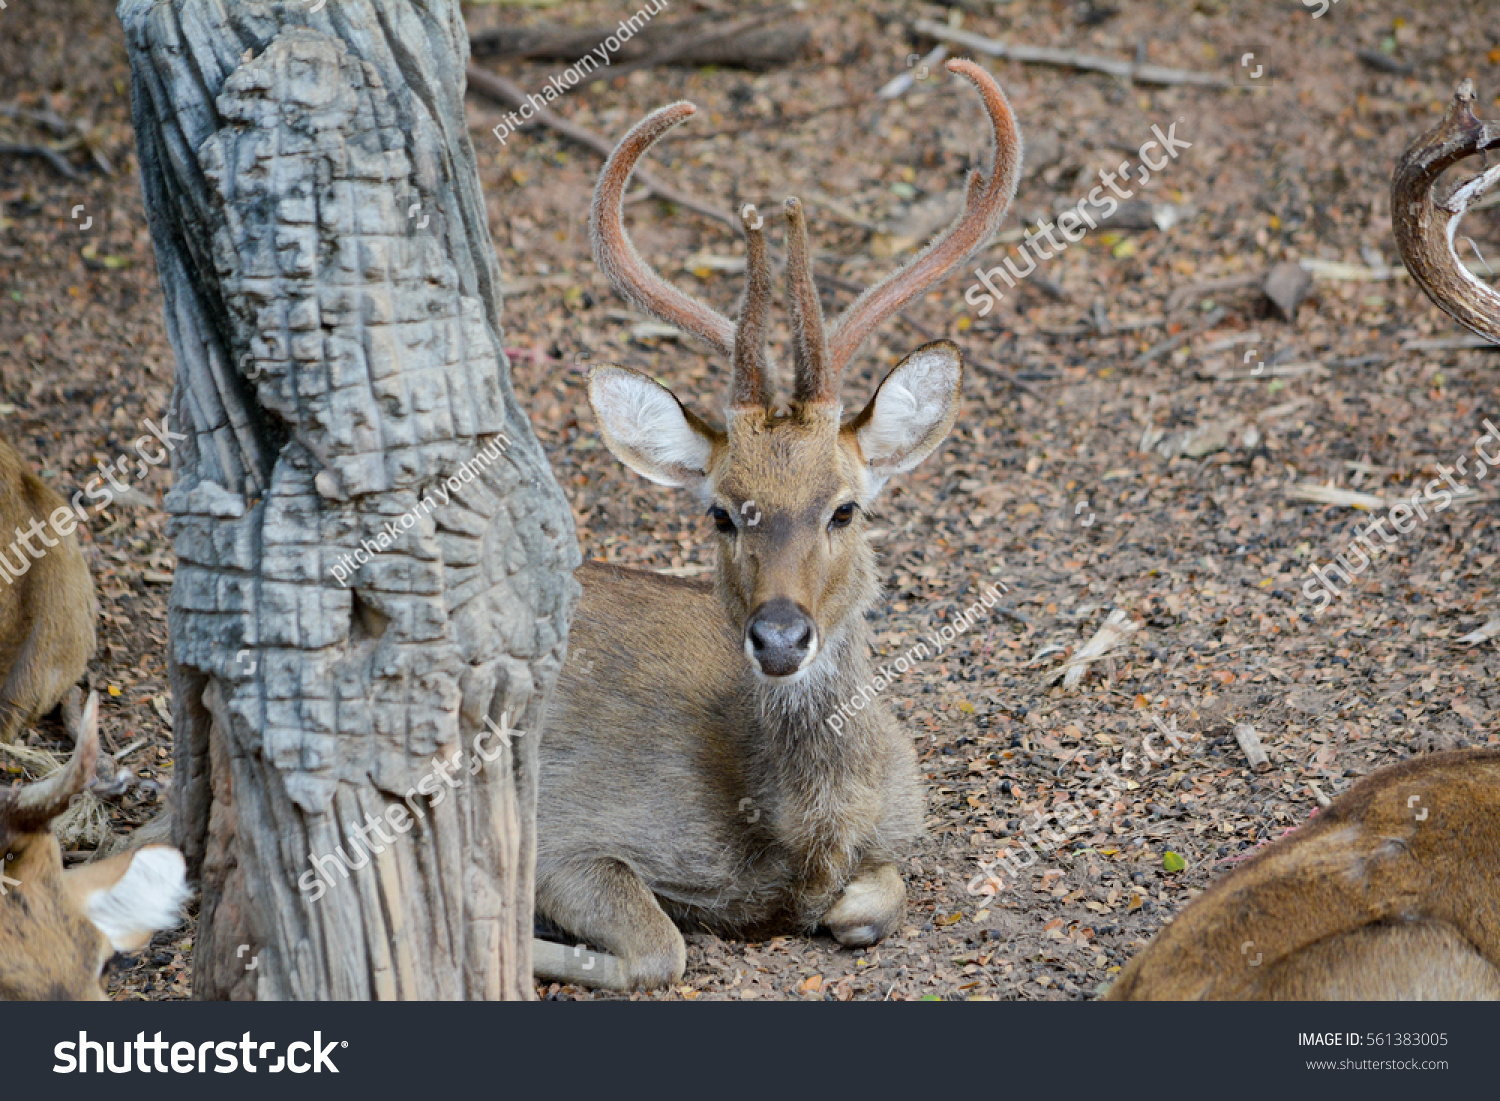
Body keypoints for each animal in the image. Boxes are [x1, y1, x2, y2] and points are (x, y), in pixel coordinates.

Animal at [528, 56, 1020, 996]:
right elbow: (663, 945)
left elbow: (876, 901)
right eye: (721, 510)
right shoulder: (563, 831)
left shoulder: (905, 817)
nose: (781, 636)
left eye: (846, 505)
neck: (801, 836)